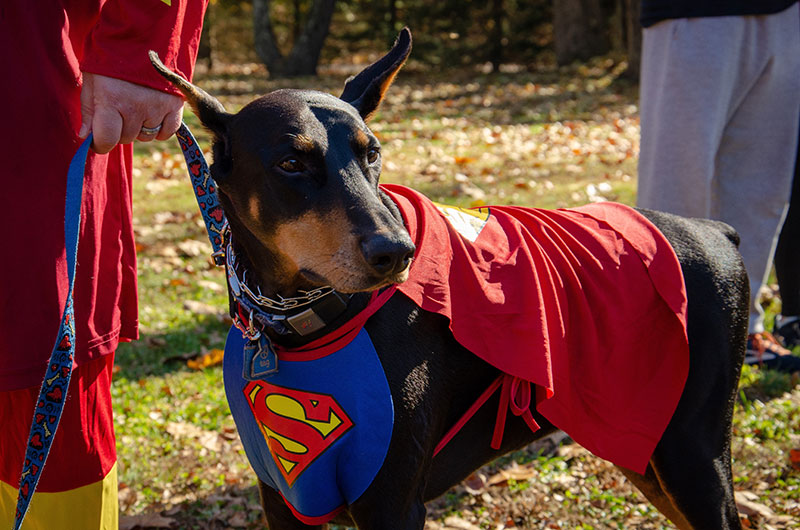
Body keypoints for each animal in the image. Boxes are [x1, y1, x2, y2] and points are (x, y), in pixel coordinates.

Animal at [150, 29, 752, 528]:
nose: (396, 251)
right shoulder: (284, 498)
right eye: (291, 163)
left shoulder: (391, 503)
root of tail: (715, 230)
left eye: (373, 152)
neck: (300, 328)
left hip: (690, 453)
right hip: (648, 455)